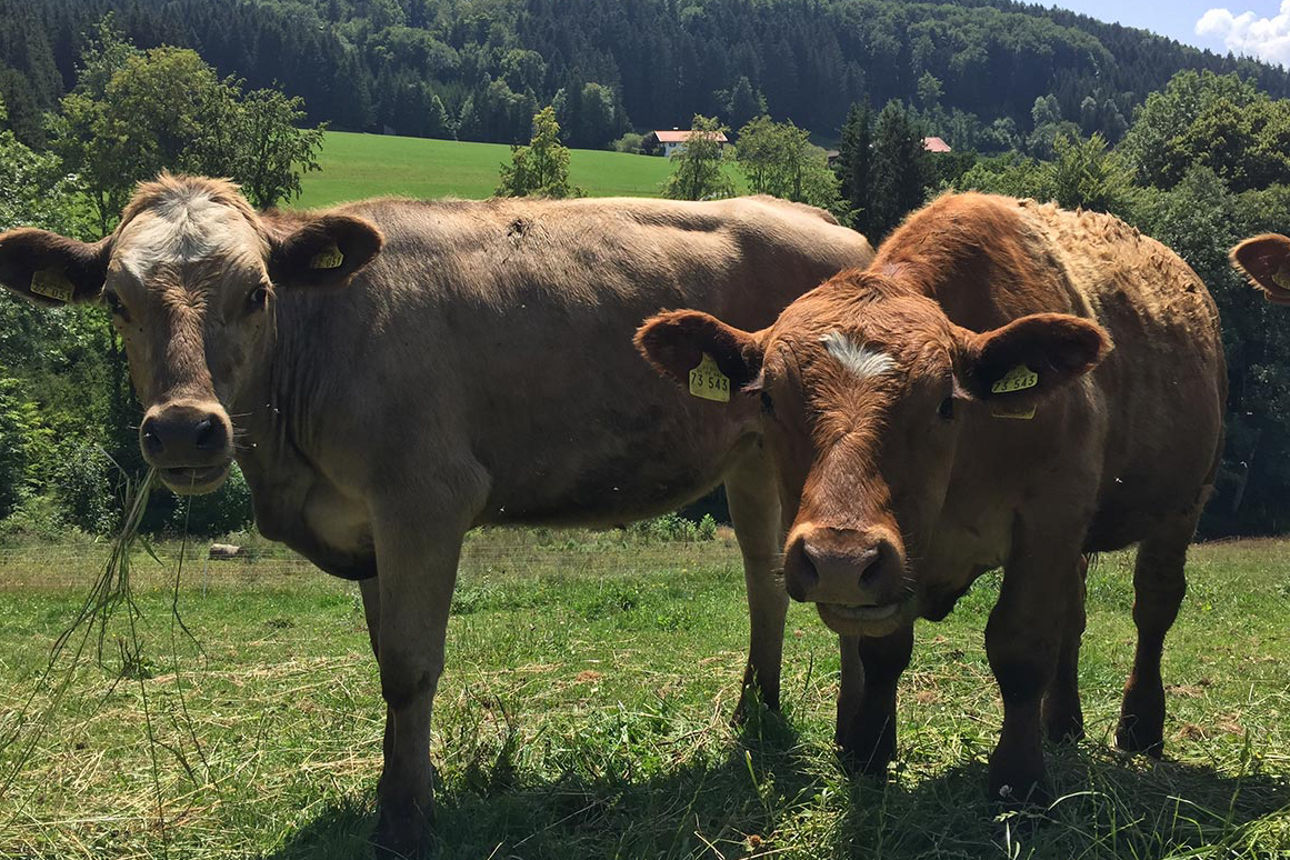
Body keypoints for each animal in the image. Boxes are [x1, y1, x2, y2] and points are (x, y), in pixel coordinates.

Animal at [0, 175, 874, 856]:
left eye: (256, 294)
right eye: (117, 302)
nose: (185, 429)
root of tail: (837, 231)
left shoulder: (424, 499)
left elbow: (409, 666)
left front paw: (407, 821)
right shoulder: (364, 524)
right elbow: (384, 658)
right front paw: (396, 790)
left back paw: (853, 742)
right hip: (752, 455)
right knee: (765, 574)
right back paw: (757, 712)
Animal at [637, 192, 1226, 803]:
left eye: (946, 402)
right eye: (769, 399)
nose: (839, 560)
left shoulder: (1050, 515)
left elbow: (1021, 644)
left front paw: (1018, 779)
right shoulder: (911, 548)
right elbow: (883, 650)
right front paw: (870, 750)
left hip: (1186, 501)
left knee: (1153, 606)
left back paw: (1140, 726)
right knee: (1076, 613)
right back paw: (1062, 723)